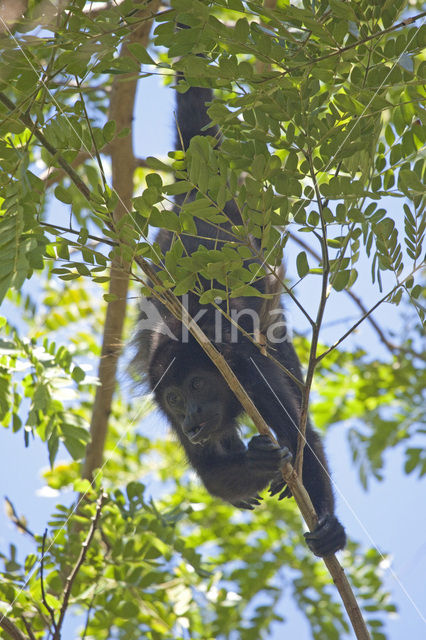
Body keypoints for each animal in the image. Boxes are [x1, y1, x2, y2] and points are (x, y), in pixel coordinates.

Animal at [134, 75, 346, 556]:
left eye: (197, 385)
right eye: (174, 399)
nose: (191, 420)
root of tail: (195, 194)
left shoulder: (247, 368)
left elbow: (303, 434)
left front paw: (329, 522)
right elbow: (211, 477)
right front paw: (254, 461)